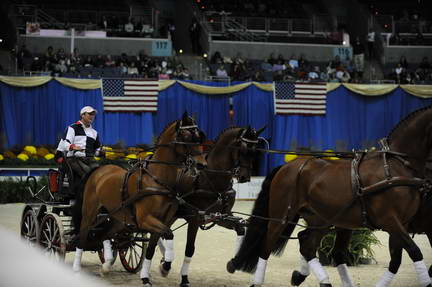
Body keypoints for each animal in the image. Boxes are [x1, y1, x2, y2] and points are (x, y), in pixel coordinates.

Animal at [71, 112, 206, 274]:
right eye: (186, 136)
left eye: (198, 136)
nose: (201, 164)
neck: (157, 179)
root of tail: (98, 169)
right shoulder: (145, 219)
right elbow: (168, 234)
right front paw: (165, 266)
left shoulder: (164, 220)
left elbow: (155, 245)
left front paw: (160, 267)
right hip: (90, 211)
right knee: (83, 234)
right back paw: (77, 267)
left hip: (117, 217)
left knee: (105, 235)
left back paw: (106, 265)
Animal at [140, 126, 264, 287]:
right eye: (242, 149)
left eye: (255, 151)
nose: (245, 177)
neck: (212, 179)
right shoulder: (195, 219)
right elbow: (189, 249)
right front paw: (184, 278)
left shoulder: (220, 217)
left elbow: (240, 229)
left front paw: (234, 263)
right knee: (154, 240)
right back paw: (158, 269)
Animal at [228, 106, 432, 287]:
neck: (396, 167)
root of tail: (288, 166)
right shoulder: (390, 220)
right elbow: (414, 251)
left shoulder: (400, 223)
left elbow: (397, 259)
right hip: (281, 217)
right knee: (267, 246)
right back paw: (258, 282)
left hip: (323, 219)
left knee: (307, 244)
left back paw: (316, 279)